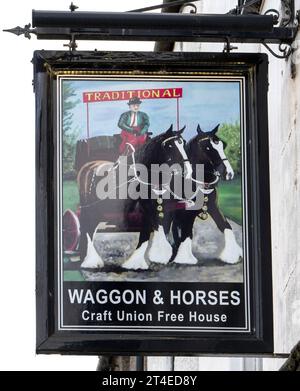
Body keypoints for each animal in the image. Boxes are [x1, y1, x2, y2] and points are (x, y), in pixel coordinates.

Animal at [80, 125, 192, 270]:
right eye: (170, 145)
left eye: (183, 143)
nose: (187, 170)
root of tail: (88, 166)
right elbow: (146, 233)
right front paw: (136, 262)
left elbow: (152, 232)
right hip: (89, 208)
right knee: (87, 228)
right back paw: (91, 261)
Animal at [171, 125, 241, 266]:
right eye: (208, 147)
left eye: (223, 145)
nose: (229, 173)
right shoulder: (187, 212)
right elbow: (187, 232)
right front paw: (185, 258)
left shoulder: (214, 208)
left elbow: (226, 226)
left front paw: (231, 255)